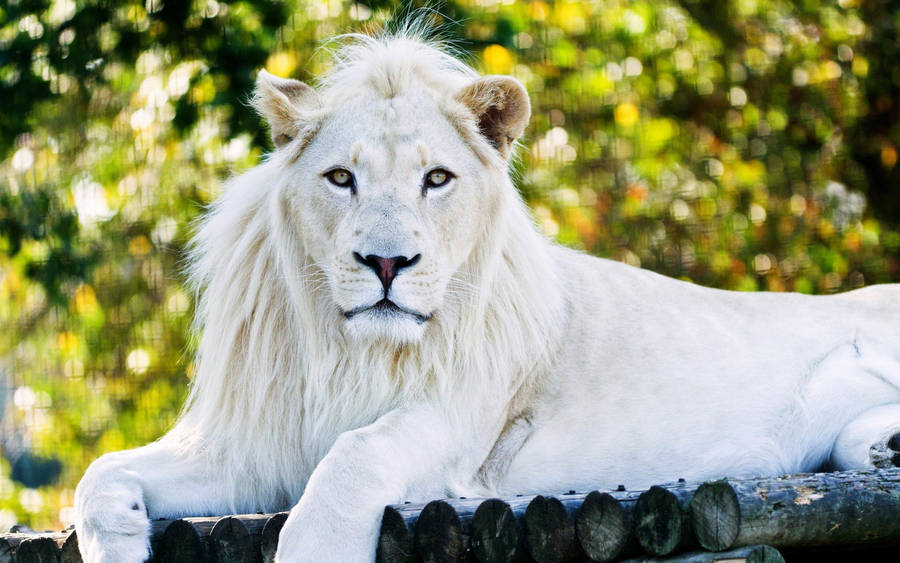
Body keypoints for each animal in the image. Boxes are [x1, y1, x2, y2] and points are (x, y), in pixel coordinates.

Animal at [73, 31, 900, 562]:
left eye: (436, 178)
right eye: (341, 177)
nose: (386, 261)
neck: (350, 349)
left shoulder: (461, 422)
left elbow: (353, 456)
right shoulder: (253, 445)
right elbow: (100, 473)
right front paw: (121, 538)